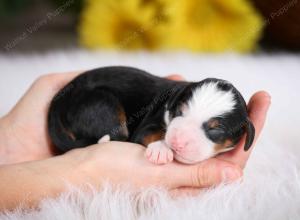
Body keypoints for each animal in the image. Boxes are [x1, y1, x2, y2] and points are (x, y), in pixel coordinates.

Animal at [48, 66, 254, 164]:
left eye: (216, 130)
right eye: (179, 112)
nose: (177, 143)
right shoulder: (147, 124)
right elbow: (151, 133)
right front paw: (161, 149)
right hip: (101, 104)